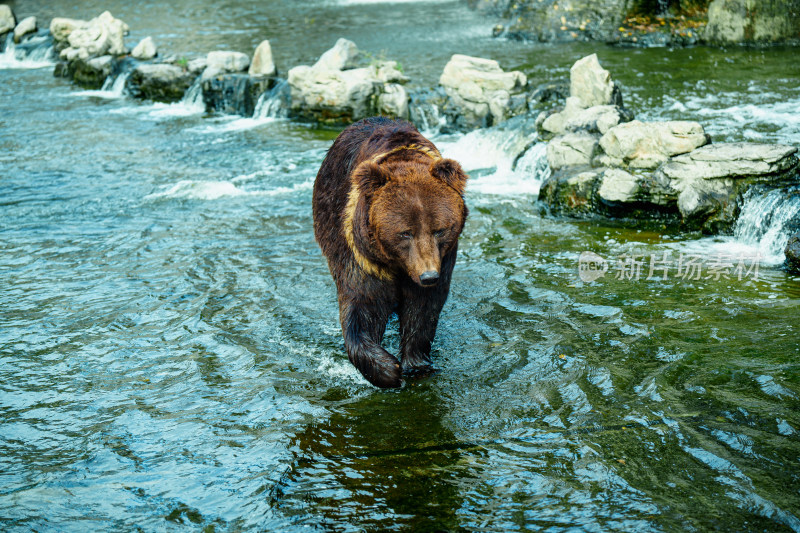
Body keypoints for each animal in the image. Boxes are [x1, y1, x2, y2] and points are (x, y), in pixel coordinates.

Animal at [312, 117, 468, 386]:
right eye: (405, 233)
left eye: (439, 230)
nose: (428, 276)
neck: (398, 265)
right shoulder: (364, 257)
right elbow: (363, 304)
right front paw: (387, 369)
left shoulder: (443, 259)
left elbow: (422, 310)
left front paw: (416, 364)